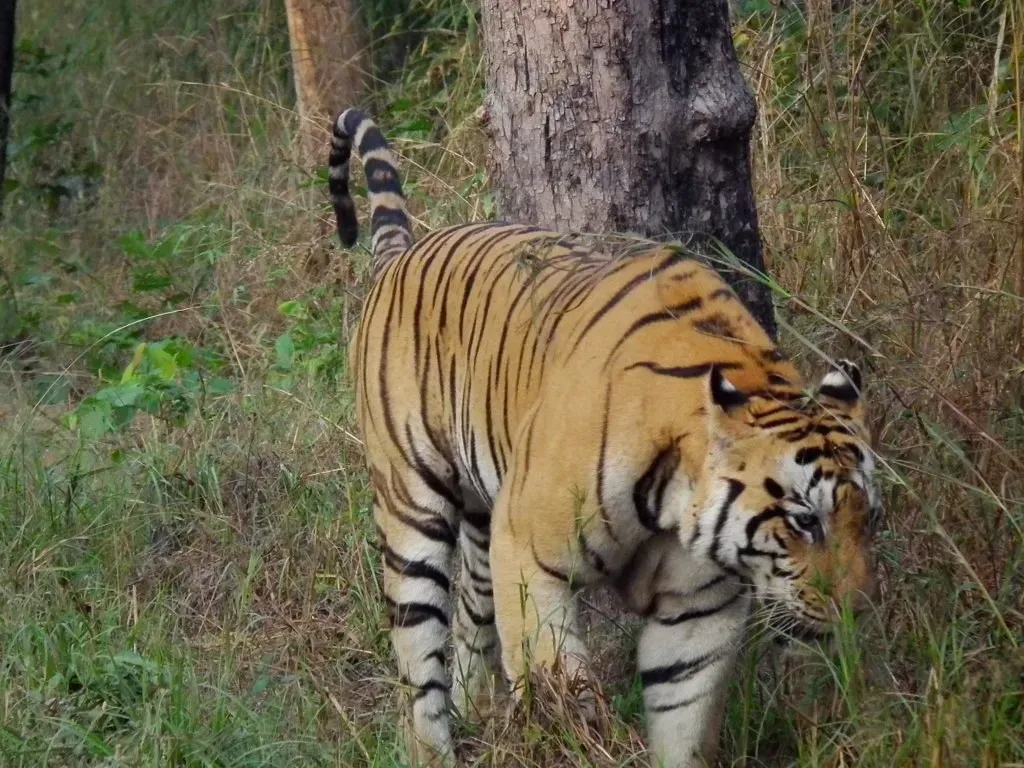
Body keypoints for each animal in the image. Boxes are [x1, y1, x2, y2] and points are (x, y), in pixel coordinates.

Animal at [330, 107, 881, 767]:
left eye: (869, 518)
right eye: (804, 521)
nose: (856, 610)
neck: (674, 499)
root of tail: (404, 252)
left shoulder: (698, 609)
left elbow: (683, 719)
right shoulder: (528, 554)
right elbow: (558, 684)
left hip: (483, 521)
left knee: (468, 617)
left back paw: (475, 710)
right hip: (413, 509)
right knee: (419, 660)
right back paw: (433, 748)